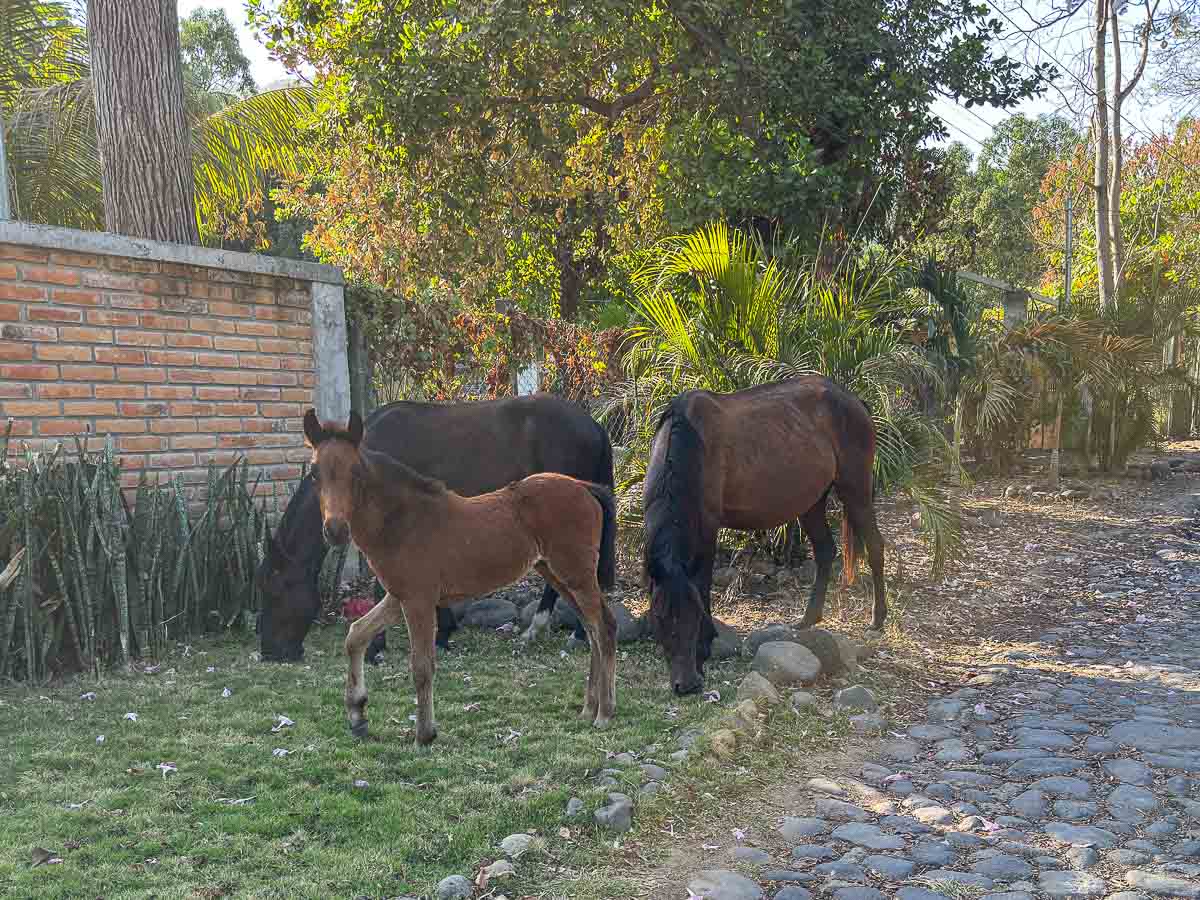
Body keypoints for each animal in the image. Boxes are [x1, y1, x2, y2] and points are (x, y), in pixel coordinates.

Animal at [256, 394, 612, 661]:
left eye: (275, 589)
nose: (270, 651)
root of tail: (593, 424)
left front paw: (375, 648)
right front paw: (443, 632)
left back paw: (559, 632)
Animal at [303, 409, 618, 741]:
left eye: (356, 472)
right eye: (314, 473)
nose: (335, 530)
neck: (403, 521)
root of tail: (585, 487)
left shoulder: (418, 600)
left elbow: (421, 666)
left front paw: (425, 734)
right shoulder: (398, 597)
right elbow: (356, 635)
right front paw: (357, 715)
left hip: (576, 574)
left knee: (604, 628)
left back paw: (605, 713)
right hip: (559, 574)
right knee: (592, 629)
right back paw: (589, 708)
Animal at [643, 376, 885, 695]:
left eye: (695, 616)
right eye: (659, 618)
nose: (688, 684)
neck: (692, 445)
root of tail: (854, 401)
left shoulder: (708, 529)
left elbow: (703, 585)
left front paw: (705, 646)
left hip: (855, 490)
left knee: (875, 547)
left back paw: (877, 618)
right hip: (812, 502)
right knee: (825, 551)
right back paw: (807, 620)